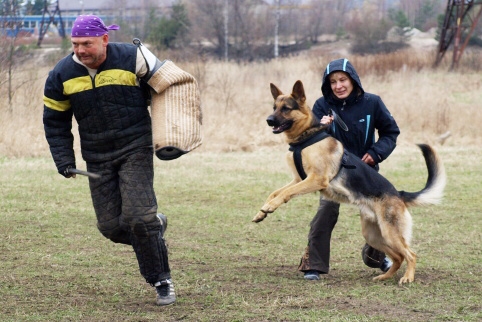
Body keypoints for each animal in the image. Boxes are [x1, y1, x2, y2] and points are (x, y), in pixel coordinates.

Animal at [254, 80, 446, 284]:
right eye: (274, 107)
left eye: (286, 109)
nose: (269, 120)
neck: (306, 137)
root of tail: (398, 194)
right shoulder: (300, 179)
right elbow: (275, 192)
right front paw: (262, 212)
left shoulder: (315, 179)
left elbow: (284, 193)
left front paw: (269, 207)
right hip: (374, 235)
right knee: (398, 257)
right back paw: (384, 276)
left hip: (389, 233)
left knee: (411, 254)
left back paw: (407, 278)